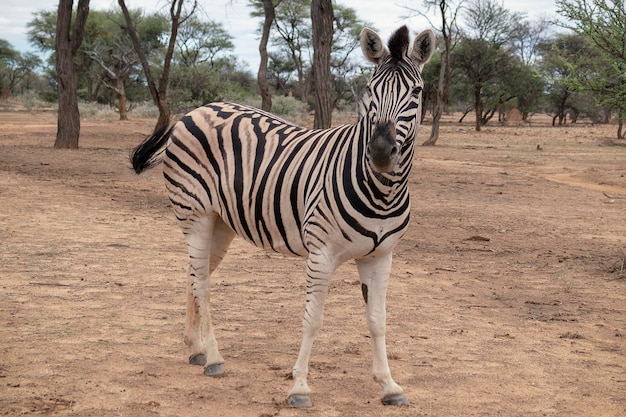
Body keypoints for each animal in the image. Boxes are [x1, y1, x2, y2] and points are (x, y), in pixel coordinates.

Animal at [130, 25, 434, 406]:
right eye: (369, 88)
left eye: (417, 92)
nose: (380, 152)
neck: (382, 191)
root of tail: (195, 111)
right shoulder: (321, 253)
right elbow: (313, 319)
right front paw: (299, 387)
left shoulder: (381, 256)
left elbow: (378, 320)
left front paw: (389, 386)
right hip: (194, 214)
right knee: (201, 281)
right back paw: (213, 357)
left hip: (220, 222)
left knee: (194, 275)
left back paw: (195, 348)